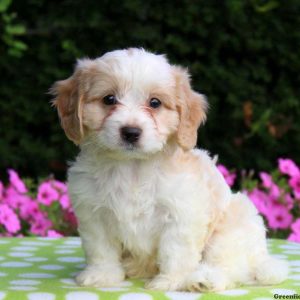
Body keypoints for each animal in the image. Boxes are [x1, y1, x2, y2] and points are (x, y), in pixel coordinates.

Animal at [51, 48, 288, 292]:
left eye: (155, 103)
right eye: (109, 99)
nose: (131, 132)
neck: (132, 166)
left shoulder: (181, 215)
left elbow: (176, 252)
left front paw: (173, 281)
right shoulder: (94, 215)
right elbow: (101, 249)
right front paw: (102, 275)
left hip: (231, 230)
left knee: (229, 267)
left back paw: (204, 280)